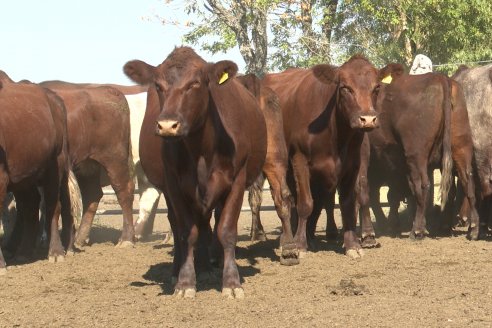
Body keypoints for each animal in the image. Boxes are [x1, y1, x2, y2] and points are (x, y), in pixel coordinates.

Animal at [38, 81, 135, 246]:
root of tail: (110, 90)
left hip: (114, 158)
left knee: (124, 190)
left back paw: (126, 239)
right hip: (87, 164)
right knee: (92, 194)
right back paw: (79, 239)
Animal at [123, 47, 270, 298]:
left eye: (195, 83)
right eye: (158, 85)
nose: (167, 125)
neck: (202, 149)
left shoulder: (237, 180)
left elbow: (226, 230)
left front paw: (231, 282)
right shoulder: (174, 184)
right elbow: (186, 232)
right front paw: (185, 282)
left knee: (210, 223)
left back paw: (210, 267)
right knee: (181, 226)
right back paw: (185, 270)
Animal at [262, 55, 380, 258]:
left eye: (376, 88)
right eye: (345, 87)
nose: (367, 119)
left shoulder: (353, 165)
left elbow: (348, 202)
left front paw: (353, 244)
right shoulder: (300, 161)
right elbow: (305, 204)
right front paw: (300, 245)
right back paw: (288, 239)